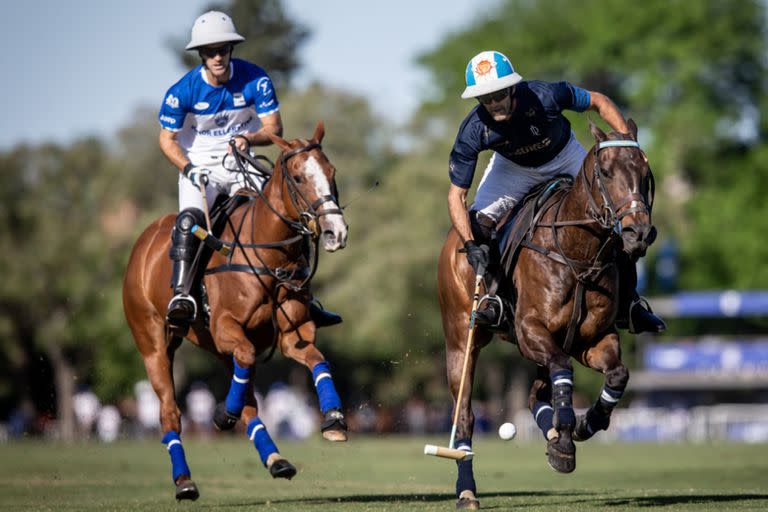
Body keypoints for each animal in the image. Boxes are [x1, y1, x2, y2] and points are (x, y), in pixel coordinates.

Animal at [124, 123, 352, 500]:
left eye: (332, 172)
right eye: (298, 177)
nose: (336, 233)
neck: (271, 257)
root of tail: (142, 243)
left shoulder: (293, 334)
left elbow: (319, 361)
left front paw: (334, 420)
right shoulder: (224, 326)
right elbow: (245, 358)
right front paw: (221, 414)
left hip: (214, 348)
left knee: (248, 400)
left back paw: (276, 459)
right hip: (153, 344)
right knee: (170, 412)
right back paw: (184, 482)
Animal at [438, 119, 656, 508]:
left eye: (645, 173)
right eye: (605, 171)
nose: (639, 233)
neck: (578, 254)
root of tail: (453, 239)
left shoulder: (592, 339)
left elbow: (616, 375)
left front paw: (582, 426)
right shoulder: (530, 330)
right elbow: (561, 371)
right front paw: (566, 436)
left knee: (535, 394)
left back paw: (553, 430)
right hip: (461, 340)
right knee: (464, 414)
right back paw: (466, 490)